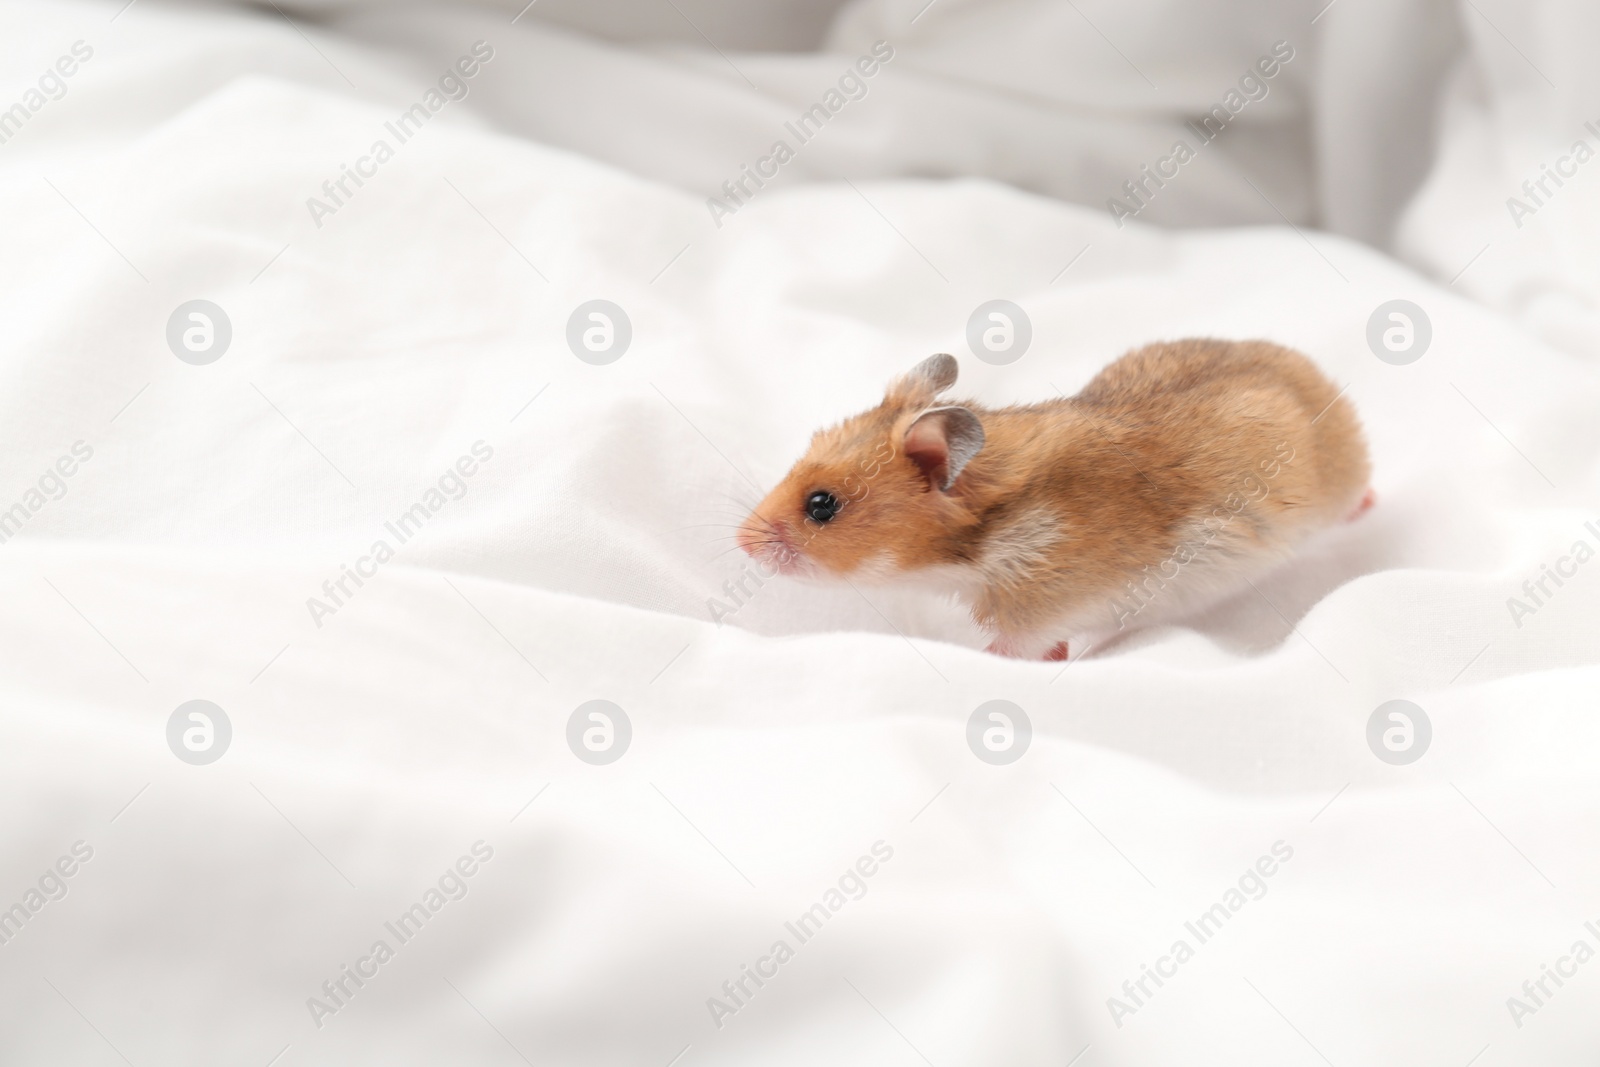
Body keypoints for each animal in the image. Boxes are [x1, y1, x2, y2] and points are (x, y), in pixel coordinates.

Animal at [736, 340, 1376, 659]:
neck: (985, 539)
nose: (741, 543)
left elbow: (1018, 646)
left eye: (822, 505)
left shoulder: (1041, 607)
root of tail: (1301, 362)